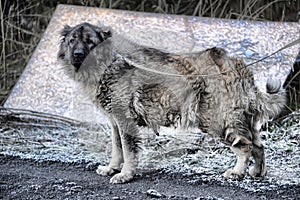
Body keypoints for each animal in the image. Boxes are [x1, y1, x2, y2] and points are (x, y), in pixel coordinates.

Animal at [58, 22, 286, 184]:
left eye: (90, 41)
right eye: (72, 41)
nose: (77, 55)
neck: (110, 61)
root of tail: (233, 63)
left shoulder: (125, 121)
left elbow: (129, 151)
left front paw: (124, 175)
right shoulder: (115, 122)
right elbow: (117, 148)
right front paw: (112, 168)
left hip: (217, 121)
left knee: (245, 145)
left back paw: (237, 172)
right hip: (240, 119)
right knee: (258, 145)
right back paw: (257, 172)